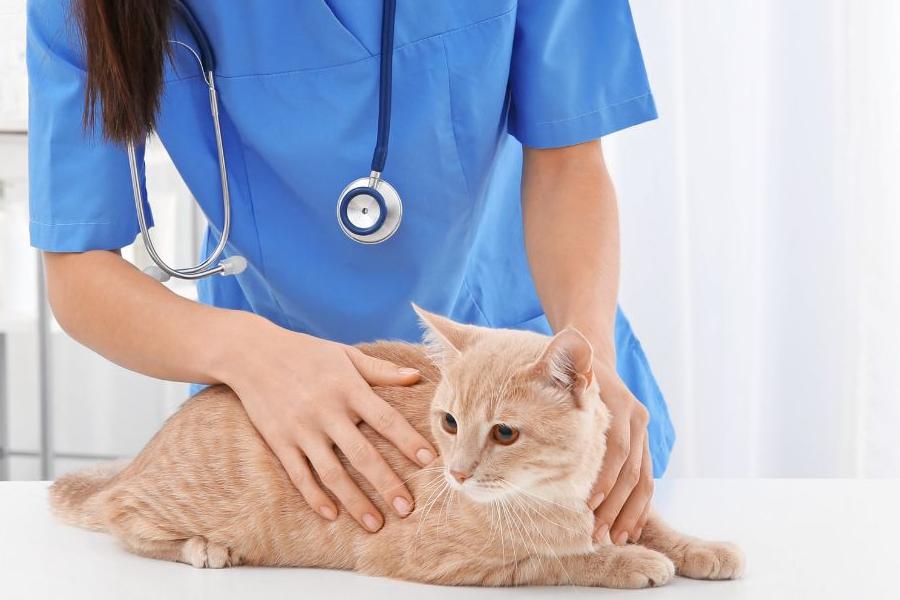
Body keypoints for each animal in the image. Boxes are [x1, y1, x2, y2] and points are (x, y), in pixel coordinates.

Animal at [49, 308, 740, 588]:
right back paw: (202, 546)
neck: (558, 493)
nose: (455, 473)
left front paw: (701, 548)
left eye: (504, 432)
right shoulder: (444, 560)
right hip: (169, 501)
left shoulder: (610, 499)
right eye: (450, 422)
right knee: (119, 512)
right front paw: (624, 561)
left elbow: (653, 523)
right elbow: (554, 559)